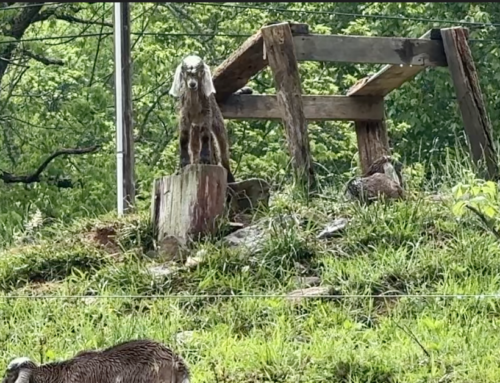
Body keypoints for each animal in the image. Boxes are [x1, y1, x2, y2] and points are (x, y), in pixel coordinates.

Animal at [170, 54, 236, 184]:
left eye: (199, 73)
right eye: (187, 73)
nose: (192, 84)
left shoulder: (207, 113)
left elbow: (205, 136)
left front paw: (205, 159)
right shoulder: (184, 114)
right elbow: (184, 138)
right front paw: (183, 163)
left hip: (216, 119)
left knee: (222, 145)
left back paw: (229, 176)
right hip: (195, 127)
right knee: (194, 146)